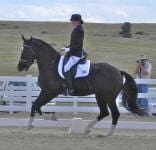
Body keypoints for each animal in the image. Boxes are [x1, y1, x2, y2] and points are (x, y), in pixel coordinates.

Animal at [17, 35, 145, 136]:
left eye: (26, 51)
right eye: (21, 49)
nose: (19, 67)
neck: (50, 65)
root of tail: (118, 71)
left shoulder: (51, 92)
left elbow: (37, 106)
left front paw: (49, 118)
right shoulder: (45, 91)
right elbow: (35, 105)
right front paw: (30, 125)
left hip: (107, 97)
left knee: (113, 113)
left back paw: (104, 132)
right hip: (102, 96)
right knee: (106, 113)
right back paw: (93, 130)